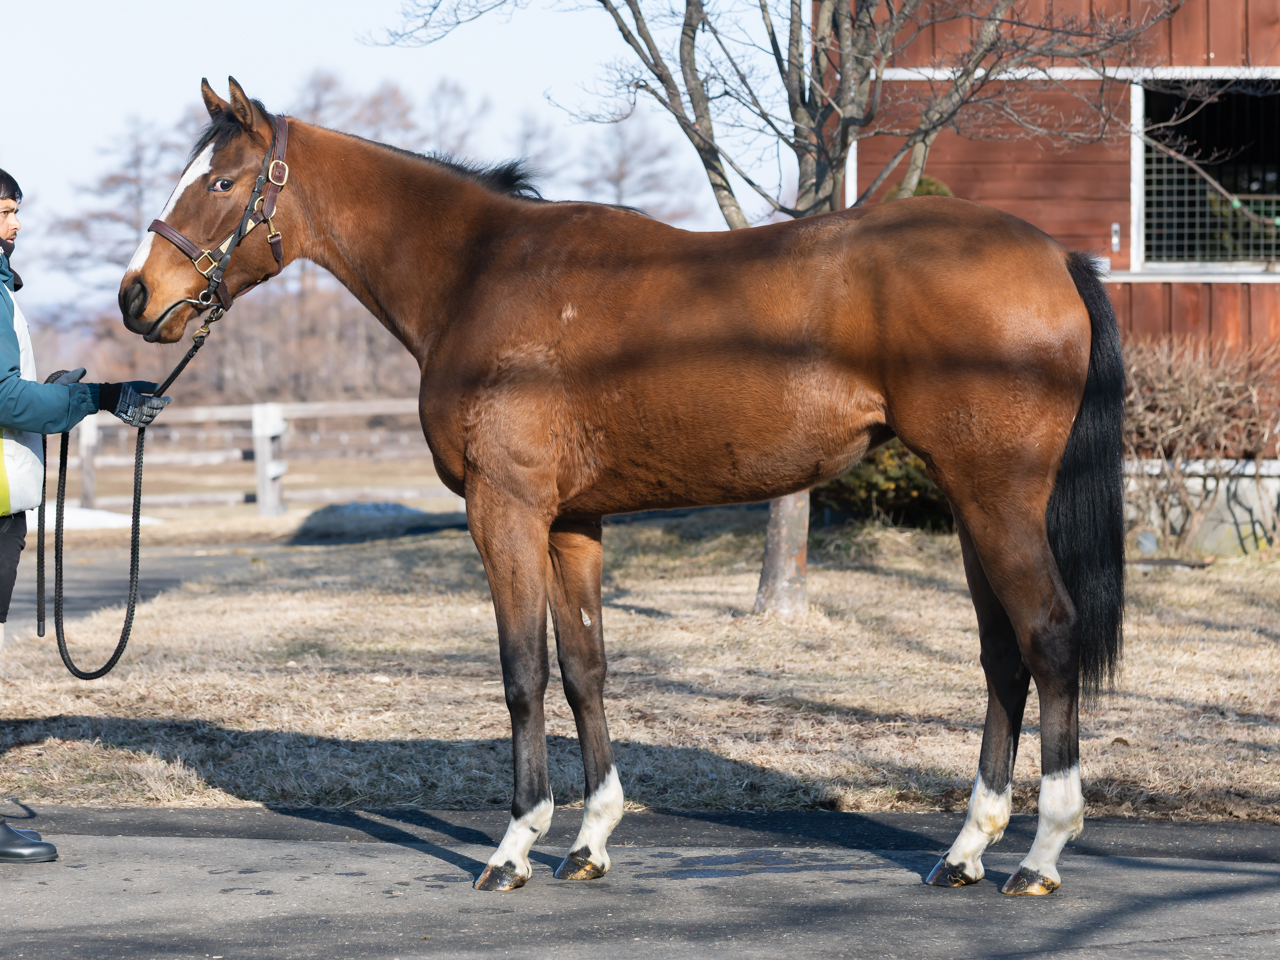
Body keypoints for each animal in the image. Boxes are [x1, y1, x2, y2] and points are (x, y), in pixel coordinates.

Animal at [119, 78, 1125, 896]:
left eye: (218, 184)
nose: (135, 297)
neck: (481, 275)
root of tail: (1056, 257)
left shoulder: (505, 511)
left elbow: (522, 672)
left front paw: (514, 846)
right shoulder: (575, 523)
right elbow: (585, 669)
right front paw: (591, 841)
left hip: (998, 498)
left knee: (1048, 634)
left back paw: (1041, 856)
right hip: (970, 501)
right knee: (1001, 655)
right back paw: (965, 850)